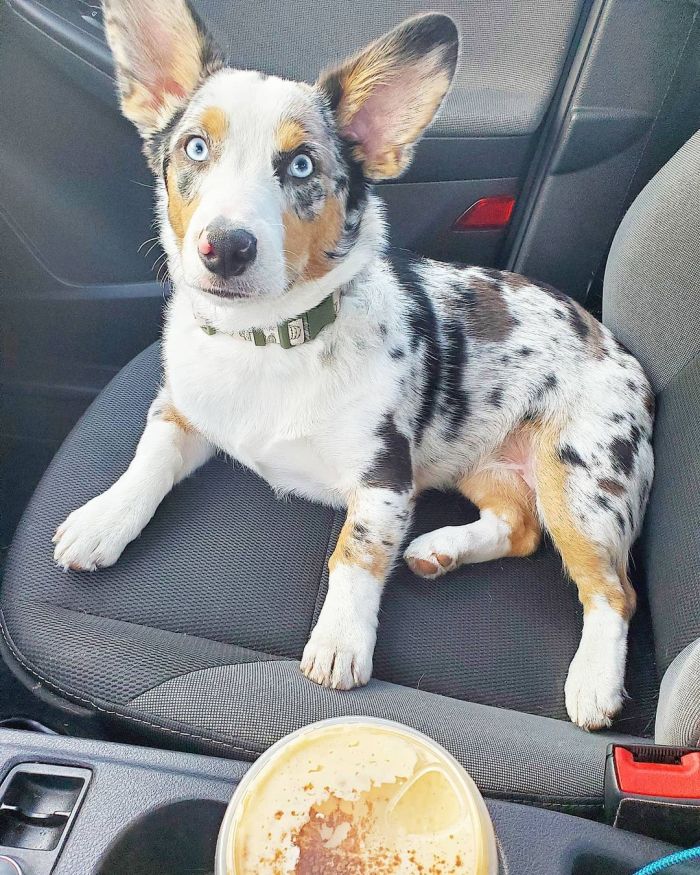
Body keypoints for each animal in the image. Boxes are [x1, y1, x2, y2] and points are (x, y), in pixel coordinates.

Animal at [52, 0, 652, 732]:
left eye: (302, 165)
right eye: (195, 147)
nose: (226, 247)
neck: (266, 340)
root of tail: (617, 349)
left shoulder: (385, 480)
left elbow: (356, 551)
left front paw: (339, 643)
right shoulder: (181, 411)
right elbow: (149, 461)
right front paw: (101, 521)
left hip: (582, 479)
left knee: (611, 589)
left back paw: (593, 682)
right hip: (483, 465)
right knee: (519, 529)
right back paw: (437, 549)